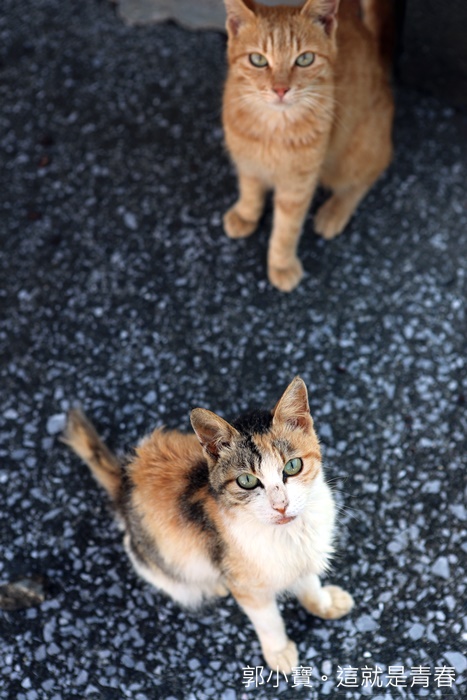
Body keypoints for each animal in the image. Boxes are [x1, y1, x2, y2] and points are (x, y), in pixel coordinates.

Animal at [63, 377, 353, 673]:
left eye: (293, 466)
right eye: (247, 481)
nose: (280, 505)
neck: (290, 533)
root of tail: (125, 480)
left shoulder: (305, 552)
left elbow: (309, 584)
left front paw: (324, 603)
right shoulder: (247, 585)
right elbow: (269, 620)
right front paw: (279, 651)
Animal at [222, 0, 394, 292]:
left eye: (304, 59)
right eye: (258, 59)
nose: (280, 89)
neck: (272, 128)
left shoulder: (297, 186)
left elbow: (286, 229)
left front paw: (281, 264)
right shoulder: (247, 161)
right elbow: (250, 190)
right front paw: (246, 215)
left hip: (354, 155)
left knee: (368, 176)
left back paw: (334, 212)